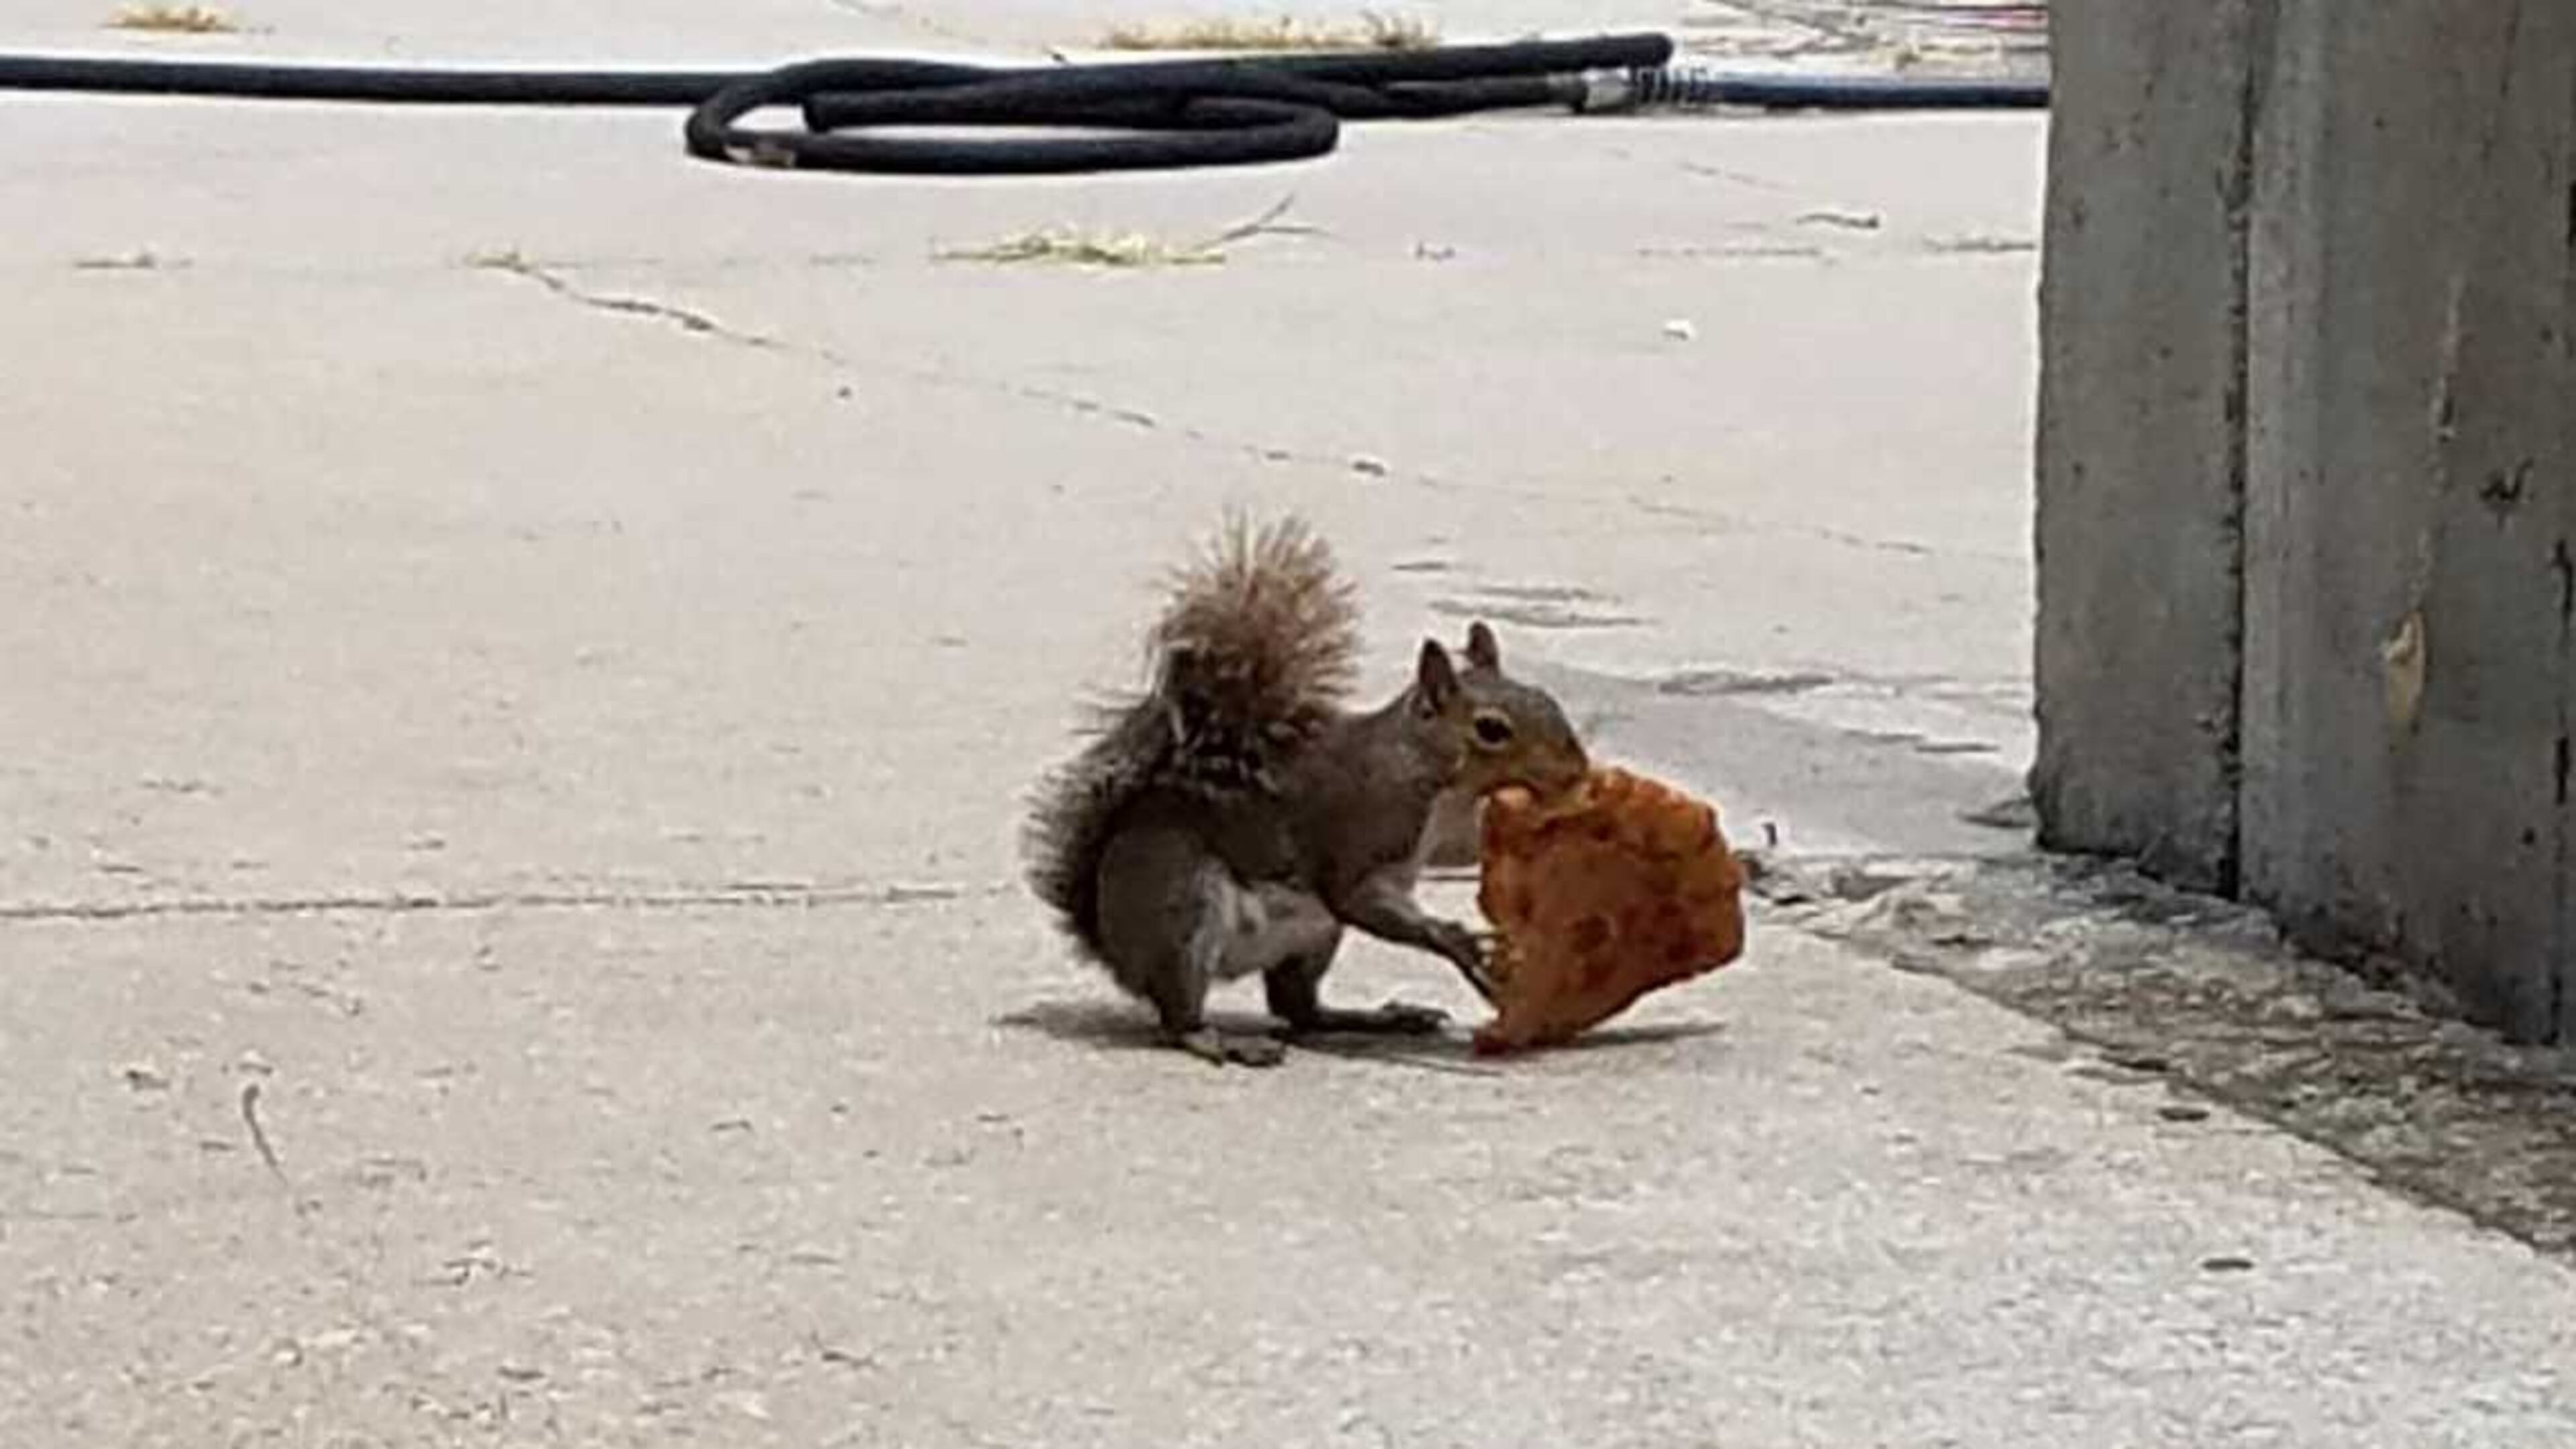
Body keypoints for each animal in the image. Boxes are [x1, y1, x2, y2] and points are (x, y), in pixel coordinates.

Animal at [1022, 514, 1590, 1067]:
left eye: (1545, 696)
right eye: (1491, 729)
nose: (1577, 771)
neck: (1433, 776)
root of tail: (1111, 945)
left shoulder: (1448, 832)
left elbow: (1463, 853)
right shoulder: (1363, 825)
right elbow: (1355, 895)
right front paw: (1456, 940)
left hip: (1313, 939)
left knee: (1299, 1009)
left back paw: (1375, 1018)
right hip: (1183, 908)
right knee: (1181, 1014)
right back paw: (1223, 1042)